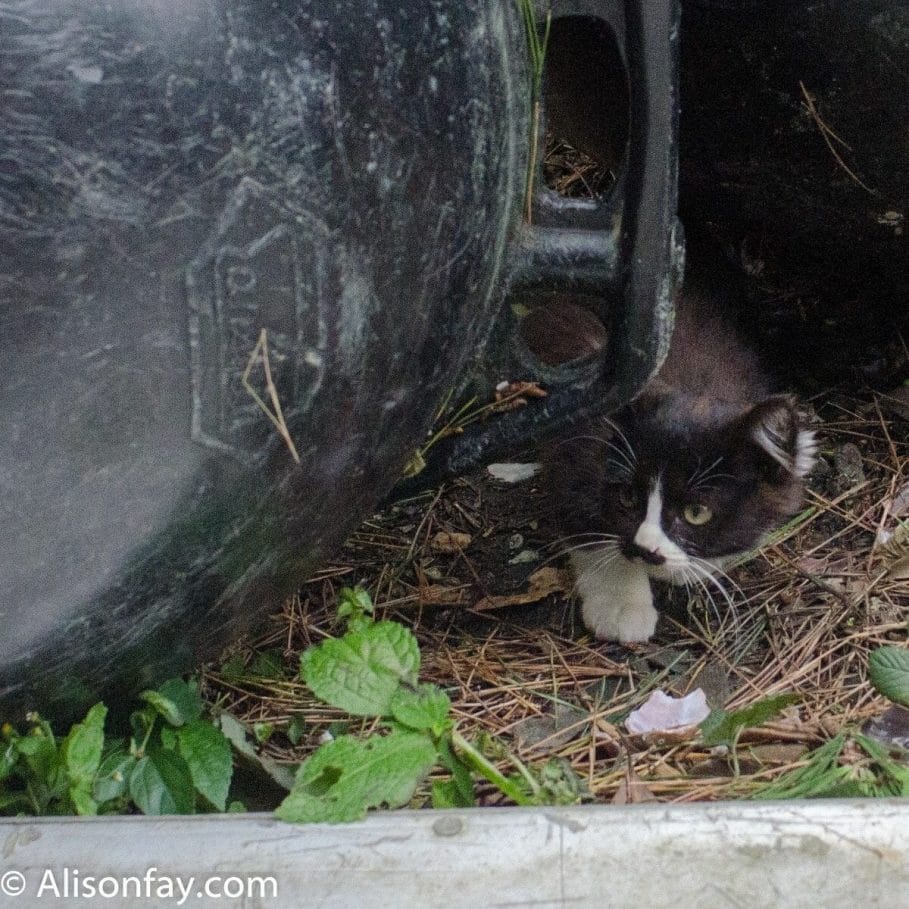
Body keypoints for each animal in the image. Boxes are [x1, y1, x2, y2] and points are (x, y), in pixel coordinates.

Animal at [540, 290, 816, 640]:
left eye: (696, 512)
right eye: (628, 497)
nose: (646, 550)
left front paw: (694, 566)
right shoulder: (576, 448)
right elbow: (583, 523)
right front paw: (621, 605)